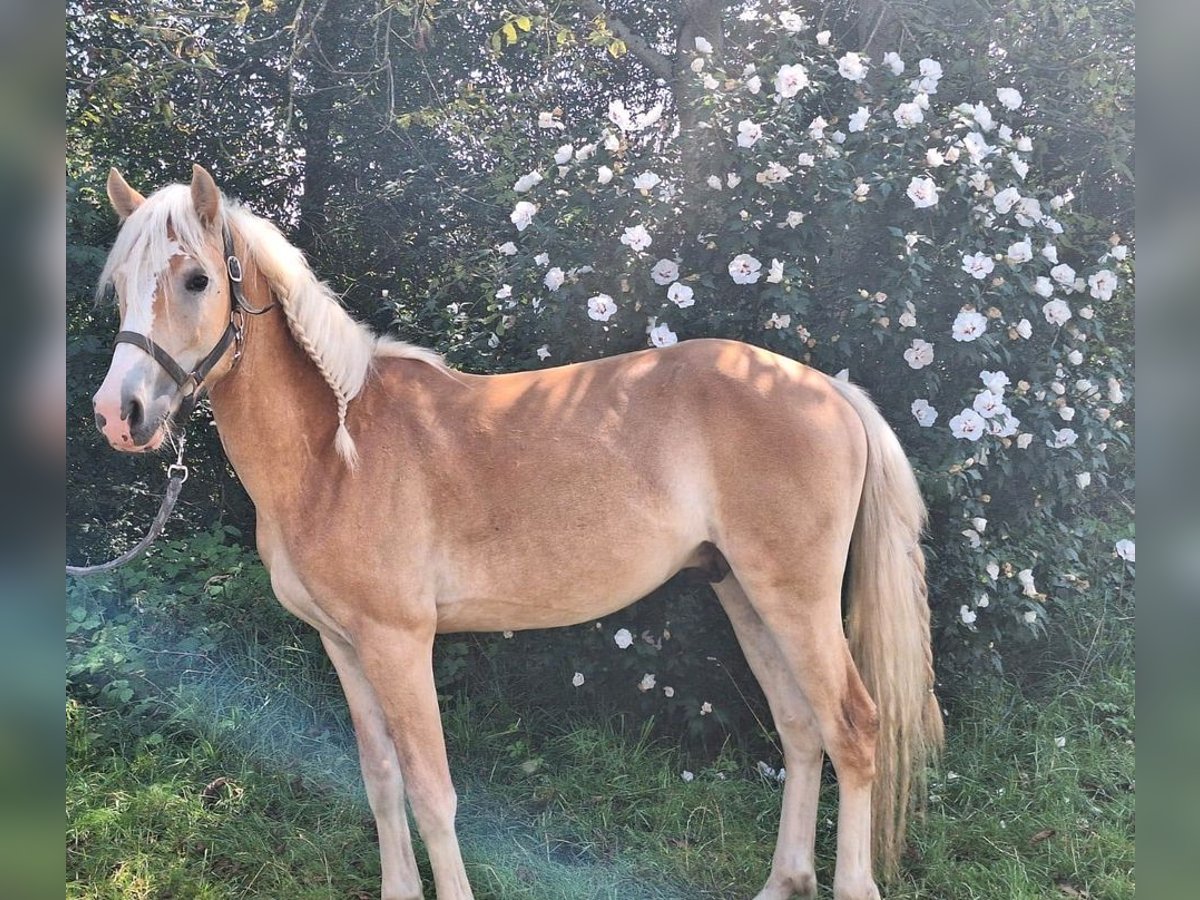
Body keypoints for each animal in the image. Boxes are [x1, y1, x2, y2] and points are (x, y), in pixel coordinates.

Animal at [88, 168, 940, 900]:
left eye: (197, 279)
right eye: (122, 287)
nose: (118, 415)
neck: (335, 451)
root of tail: (825, 387)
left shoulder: (399, 643)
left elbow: (432, 792)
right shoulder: (344, 644)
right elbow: (380, 781)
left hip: (796, 599)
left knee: (853, 730)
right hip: (744, 592)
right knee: (801, 731)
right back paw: (782, 881)